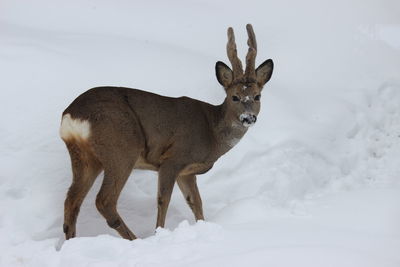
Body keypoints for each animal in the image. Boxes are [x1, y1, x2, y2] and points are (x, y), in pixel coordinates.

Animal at [59, 24, 274, 241]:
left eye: (257, 96)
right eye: (234, 97)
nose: (248, 118)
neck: (212, 133)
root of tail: (72, 115)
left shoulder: (187, 172)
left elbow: (196, 202)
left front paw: (203, 227)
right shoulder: (173, 158)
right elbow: (164, 200)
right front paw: (159, 233)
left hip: (85, 156)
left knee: (72, 200)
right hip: (121, 149)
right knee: (104, 200)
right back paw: (135, 239)